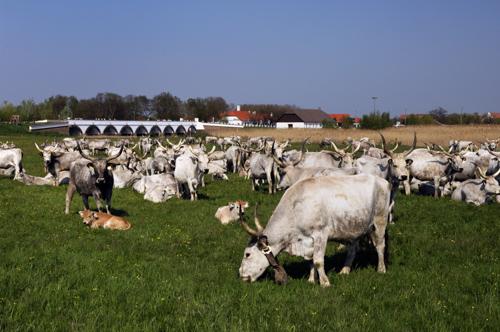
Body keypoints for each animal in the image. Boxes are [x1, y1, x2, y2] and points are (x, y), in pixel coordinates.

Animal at [238, 175, 390, 286]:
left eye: (247, 254)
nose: (241, 275)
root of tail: (382, 180)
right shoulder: (308, 240)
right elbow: (310, 261)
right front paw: (311, 280)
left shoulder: (320, 234)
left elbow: (318, 260)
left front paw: (325, 282)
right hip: (355, 228)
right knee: (353, 249)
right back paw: (345, 271)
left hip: (380, 220)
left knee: (380, 245)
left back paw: (381, 269)